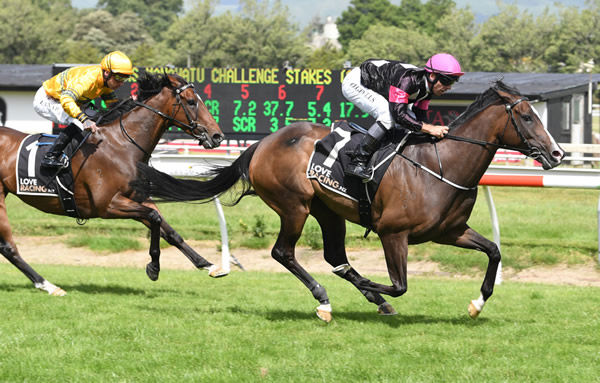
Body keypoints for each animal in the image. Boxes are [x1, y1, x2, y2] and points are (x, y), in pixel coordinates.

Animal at [0, 73, 225, 298]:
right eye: (191, 101)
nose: (217, 136)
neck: (121, 146)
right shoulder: (107, 205)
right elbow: (154, 218)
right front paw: (153, 267)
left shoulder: (137, 198)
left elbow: (168, 230)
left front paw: (209, 265)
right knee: (8, 247)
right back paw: (48, 285)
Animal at [130, 81, 564, 320]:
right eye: (527, 117)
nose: (557, 153)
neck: (440, 164)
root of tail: (262, 144)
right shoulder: (393, 233)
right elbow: (400, 284)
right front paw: (375, 286)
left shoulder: (450, 231)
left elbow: (493, 251)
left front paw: (477, 303)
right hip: (294, 206)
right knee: (285, 253)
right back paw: (326, 300)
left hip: (328, 211)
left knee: (334, 256)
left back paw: (361, 295)